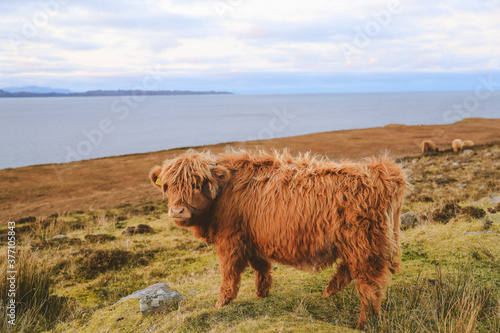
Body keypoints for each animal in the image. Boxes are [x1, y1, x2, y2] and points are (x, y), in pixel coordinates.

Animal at [149, 150, 406, 330]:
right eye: (167, 186)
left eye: (196, 184)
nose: (177, 211)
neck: (223, 193)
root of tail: (381, 172)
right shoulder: (251, 238)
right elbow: (261, 267)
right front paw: (261, 294)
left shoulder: (229, 240)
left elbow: (229, 274)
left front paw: (221, 303)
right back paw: (332, 290)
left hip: (364, 246)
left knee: (369, 288)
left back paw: (363, 324)